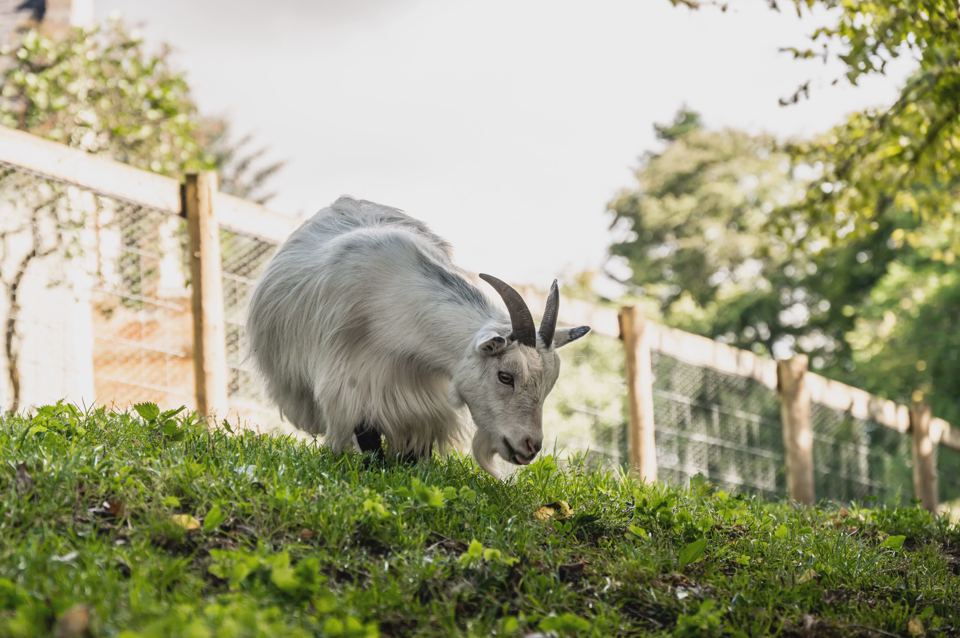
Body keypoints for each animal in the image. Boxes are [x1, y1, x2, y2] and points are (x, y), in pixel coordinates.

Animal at [246, 196, 590, 475]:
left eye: (548, 385)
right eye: (505, 376)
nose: (530, 446)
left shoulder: (421, 400)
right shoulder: (354, 381)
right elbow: (367, 431)